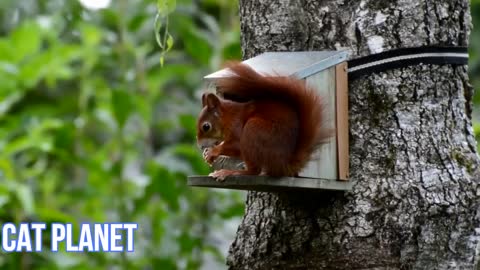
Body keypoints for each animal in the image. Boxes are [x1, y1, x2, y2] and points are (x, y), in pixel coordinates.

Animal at [195, 62, 330, 181]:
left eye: (206, 126)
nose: (200, 146)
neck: (228, 117)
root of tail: (284, 165)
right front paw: (207, 153)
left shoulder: (236, 125)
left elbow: (236, 145)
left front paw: (213, 151)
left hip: (253, 130)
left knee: (253, 171)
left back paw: (229, 172)